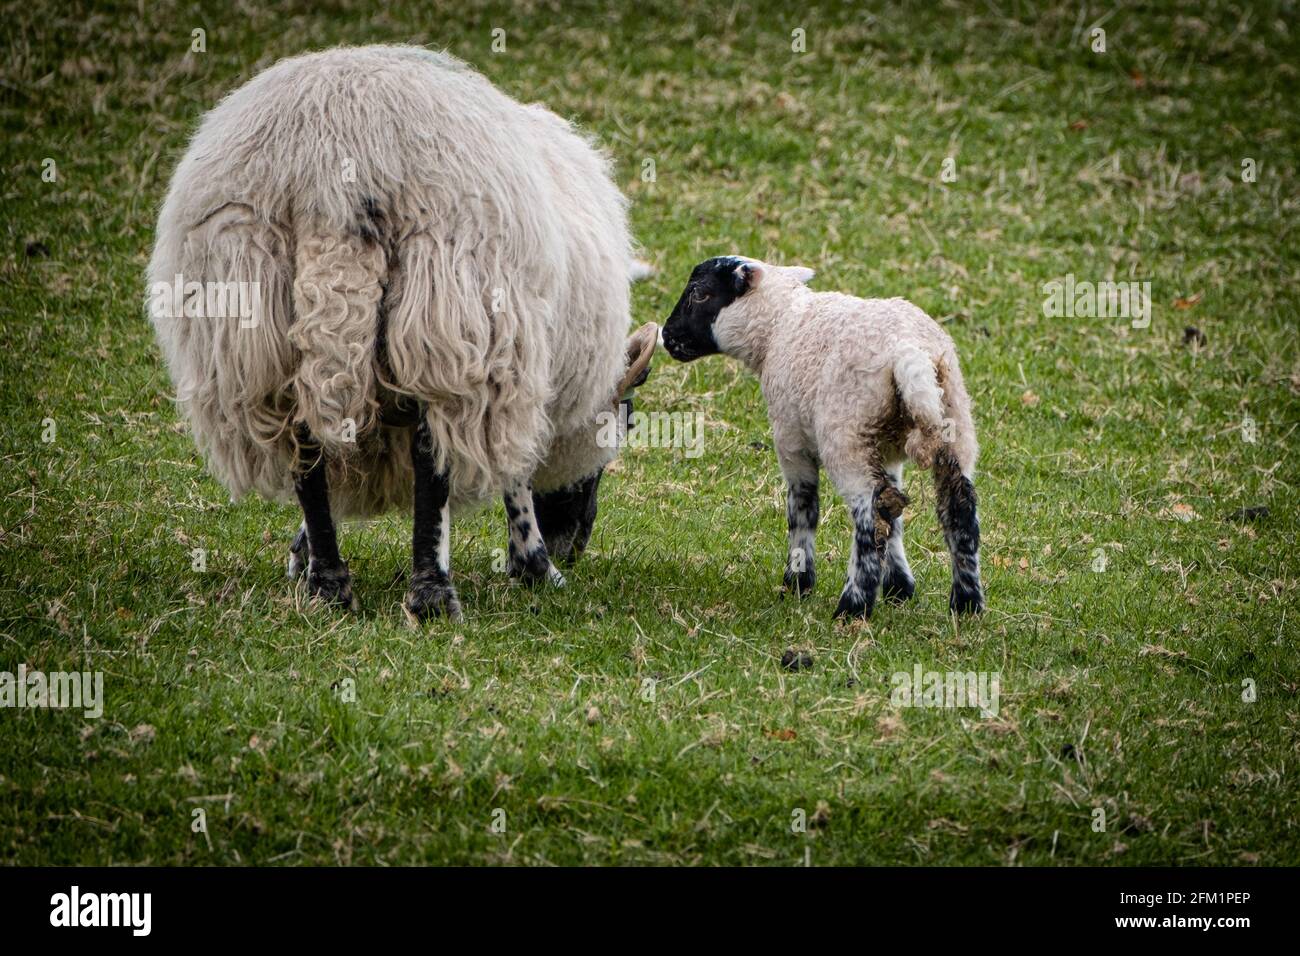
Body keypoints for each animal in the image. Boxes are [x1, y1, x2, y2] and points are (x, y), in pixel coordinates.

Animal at [149, 46, 660, 621]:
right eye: (628, 418)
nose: (573, 547)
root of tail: (330, 169)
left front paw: (300, 553)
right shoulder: (516, 357)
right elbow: (511, 477)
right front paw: (534, 565)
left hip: (256, 315)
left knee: (308, 442)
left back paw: (329, 586)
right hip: (448, 301)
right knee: (429, 449)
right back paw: (433, 593)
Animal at [665, 256, 977, 621]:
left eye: (700, 294)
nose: (667, 335)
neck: (777, 326)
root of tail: (910, 353)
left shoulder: (790, 439)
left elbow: (803, 508)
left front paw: (797, 584)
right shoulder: (886, 451)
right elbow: (897, 517)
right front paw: (899, 587)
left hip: (846, 434)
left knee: (871, 517)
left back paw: (853, 606)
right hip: (953, 424)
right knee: (956, 507)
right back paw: (967, 604)